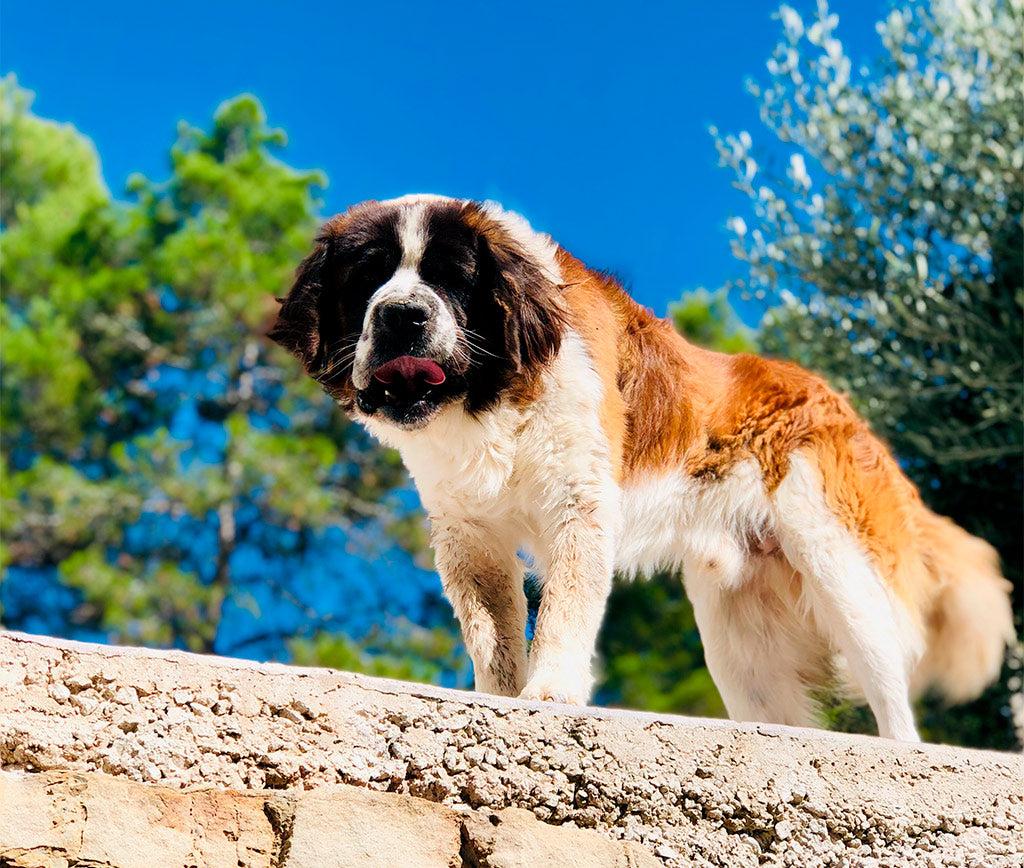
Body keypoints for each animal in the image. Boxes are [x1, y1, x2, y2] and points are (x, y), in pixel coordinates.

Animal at [268, 194, 1011, 741]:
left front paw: (551, 692)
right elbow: (493, 632)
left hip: (838, 565)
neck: (492, 397)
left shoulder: (579, 507)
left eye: (451, 279)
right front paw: (502, 697)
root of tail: (842, 405)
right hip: (740, 636)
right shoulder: (468, 535)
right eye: (367, 278)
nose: (402, 315)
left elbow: (564, 607)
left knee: (892, 702)